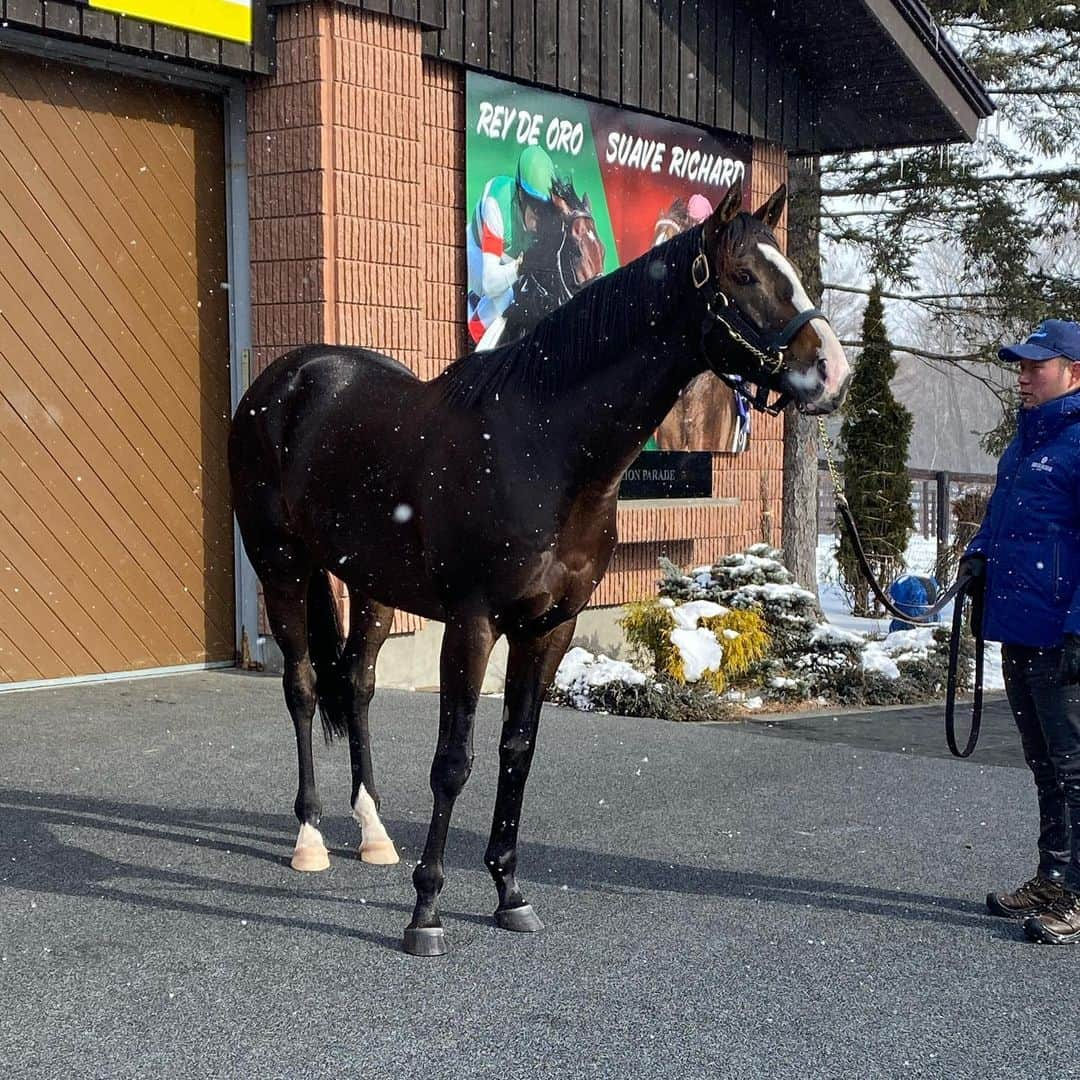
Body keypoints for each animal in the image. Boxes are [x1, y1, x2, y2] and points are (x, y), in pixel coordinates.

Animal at [230, 179, 851, 954]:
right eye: (744, 276)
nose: (832, 369)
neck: (541, 449)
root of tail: (286, 380)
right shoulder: (472, 624)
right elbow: (454, 761)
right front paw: (426, 912)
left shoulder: (551, 627)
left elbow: (516, 751)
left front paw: (509, 894)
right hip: (280, 567)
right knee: (305, 686)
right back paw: (310, 838)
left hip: (368, 586)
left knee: (359, 684)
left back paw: (372, 831)